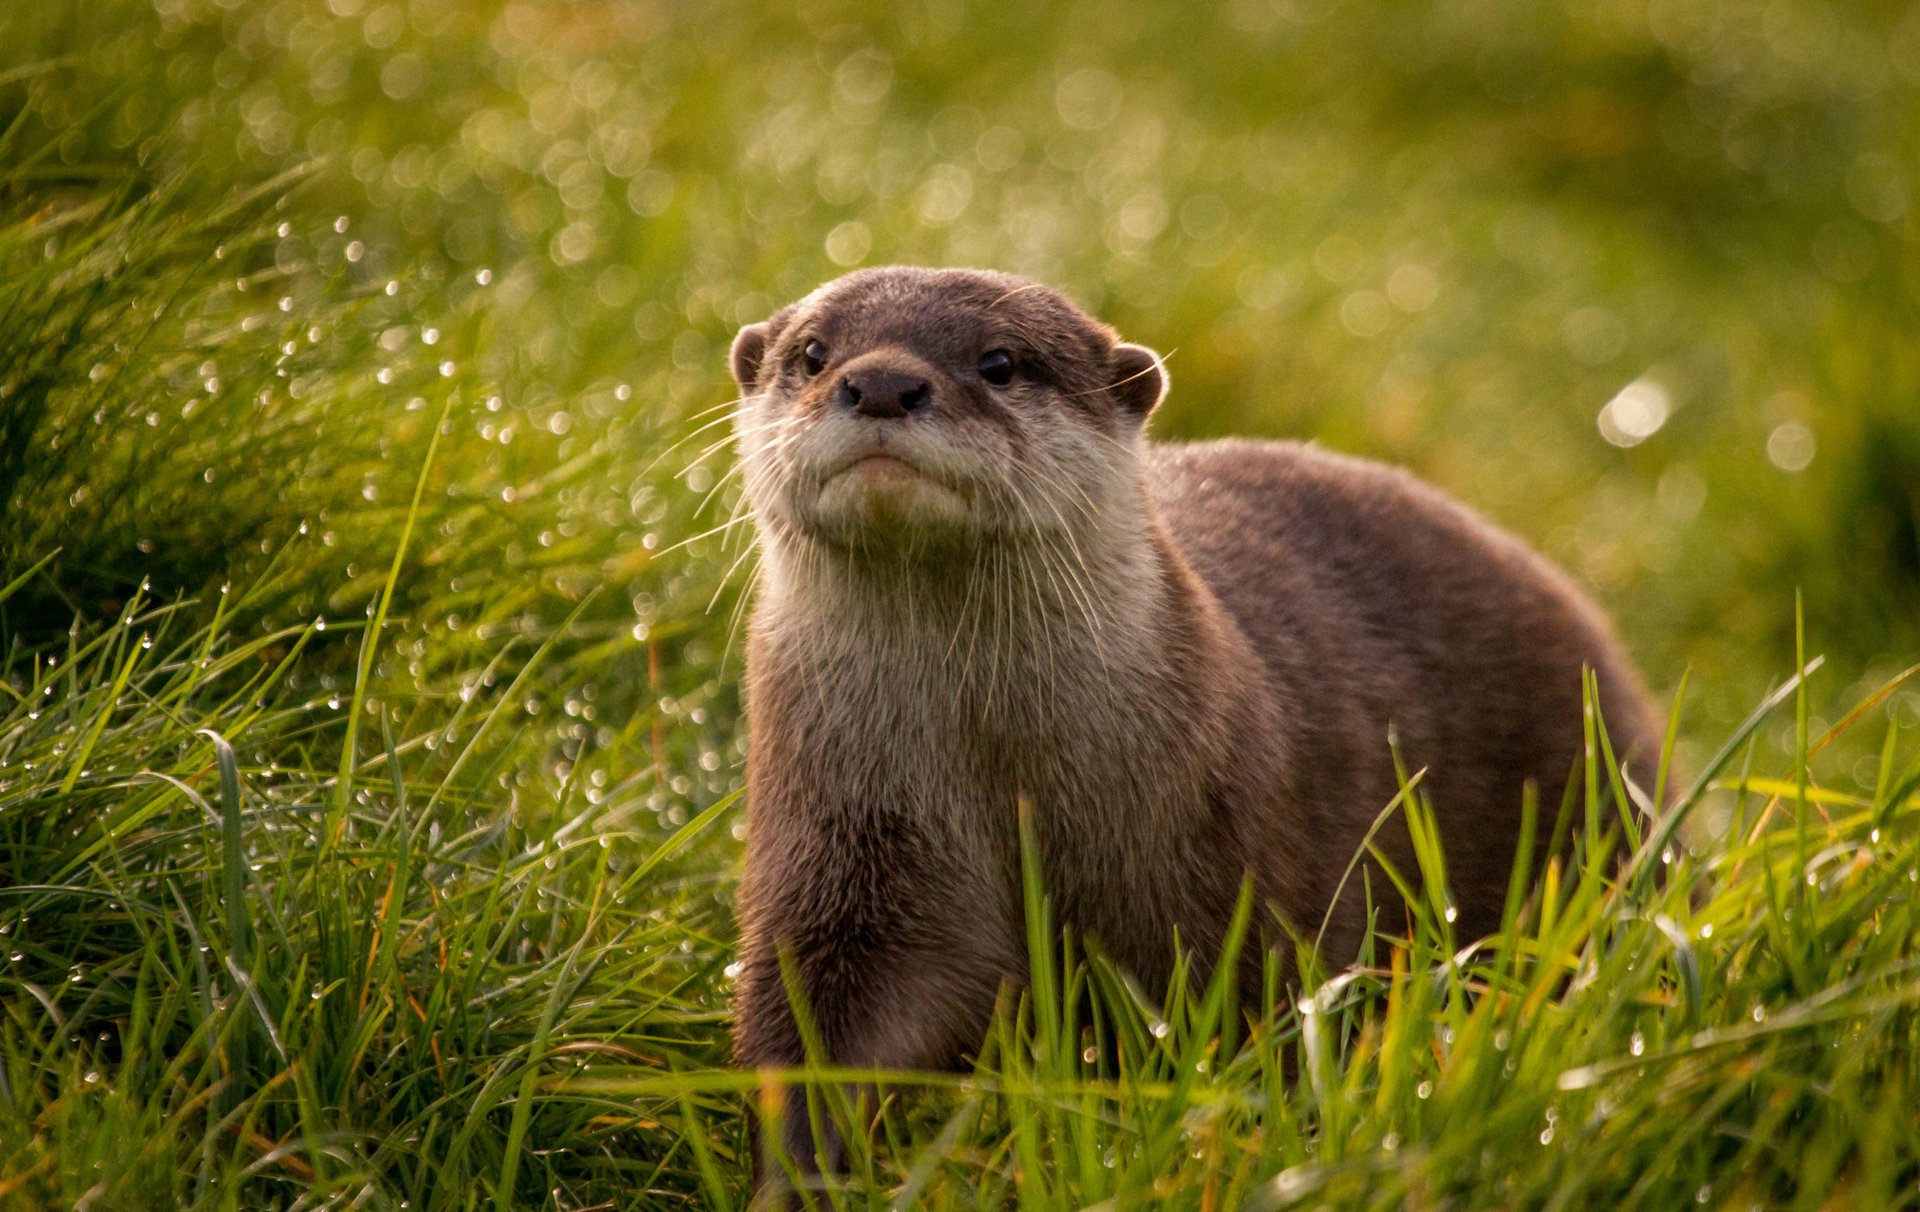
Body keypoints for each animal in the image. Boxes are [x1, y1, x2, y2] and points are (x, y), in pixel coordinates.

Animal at [723, 266, 1661, 1184]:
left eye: (998, 362)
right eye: (813, 353)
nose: (881, 382)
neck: (1001, 778)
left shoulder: (1228, 872)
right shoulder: (843, 858)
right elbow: (819, 1030)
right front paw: (798, 1177)